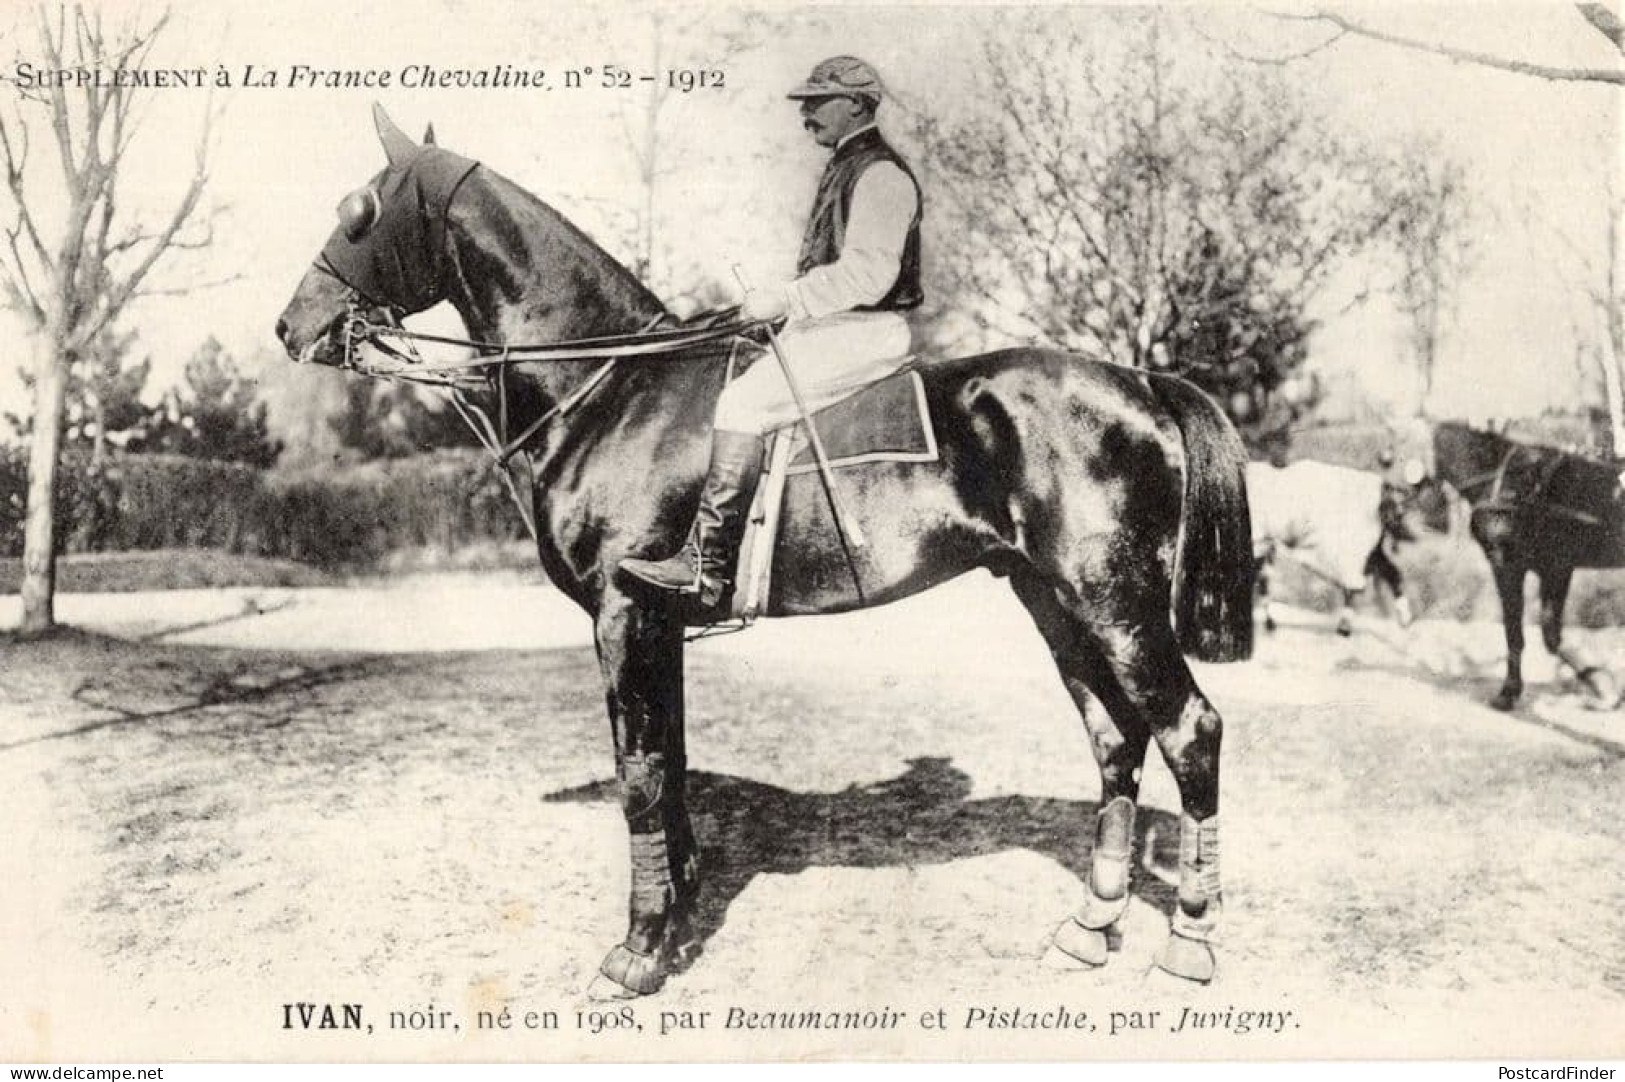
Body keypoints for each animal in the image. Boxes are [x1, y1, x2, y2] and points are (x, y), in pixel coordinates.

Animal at [273, 109, 1248, 994]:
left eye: (358, 210)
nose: (290, 327)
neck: (613, 389)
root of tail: (1142, 384)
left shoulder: (623, 615)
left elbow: (639, 776)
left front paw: (635, 953)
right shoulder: (656, 624)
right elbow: (668, 766)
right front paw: (675, 921)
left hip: (1112, 603)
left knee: (1188, 730)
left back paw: (1190, 941)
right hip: (1050, 600)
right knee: (1115, 737)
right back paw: (1089, 928)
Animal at [1430, 419, 1618, 708]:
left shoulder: (1522, 567)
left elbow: (1526, 634)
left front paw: (1508, 692)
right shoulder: (1544, 569)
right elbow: (1546, 636)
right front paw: (1602, 684)